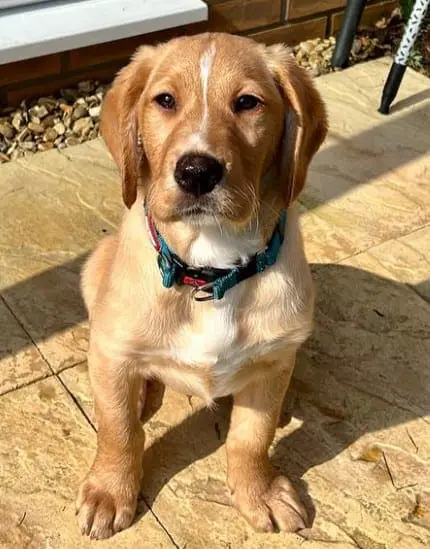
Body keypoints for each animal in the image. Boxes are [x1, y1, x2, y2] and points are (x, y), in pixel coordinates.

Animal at [76, 33, 326, 540]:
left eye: (248, 103)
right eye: (165, 101)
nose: (196, 171)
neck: (210, 270)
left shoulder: (274, 358)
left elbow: (252, 436)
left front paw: (259, 491)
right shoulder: (111, 349)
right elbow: (117, 429)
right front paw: (110, 490)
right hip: (93, 272)